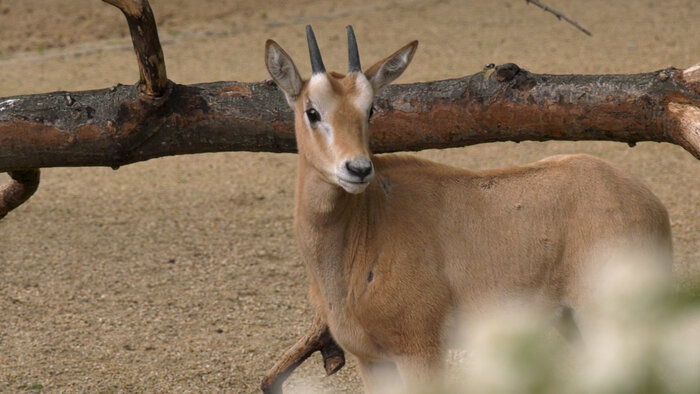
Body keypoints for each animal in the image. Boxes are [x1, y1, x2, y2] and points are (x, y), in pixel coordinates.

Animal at [264, 25, 672, 390]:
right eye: (312, 111)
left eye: (371, 110)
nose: (358, 169)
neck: (365, 226)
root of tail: (652, 204)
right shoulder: (372, 359)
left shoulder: (420, 350)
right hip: (574, 323)